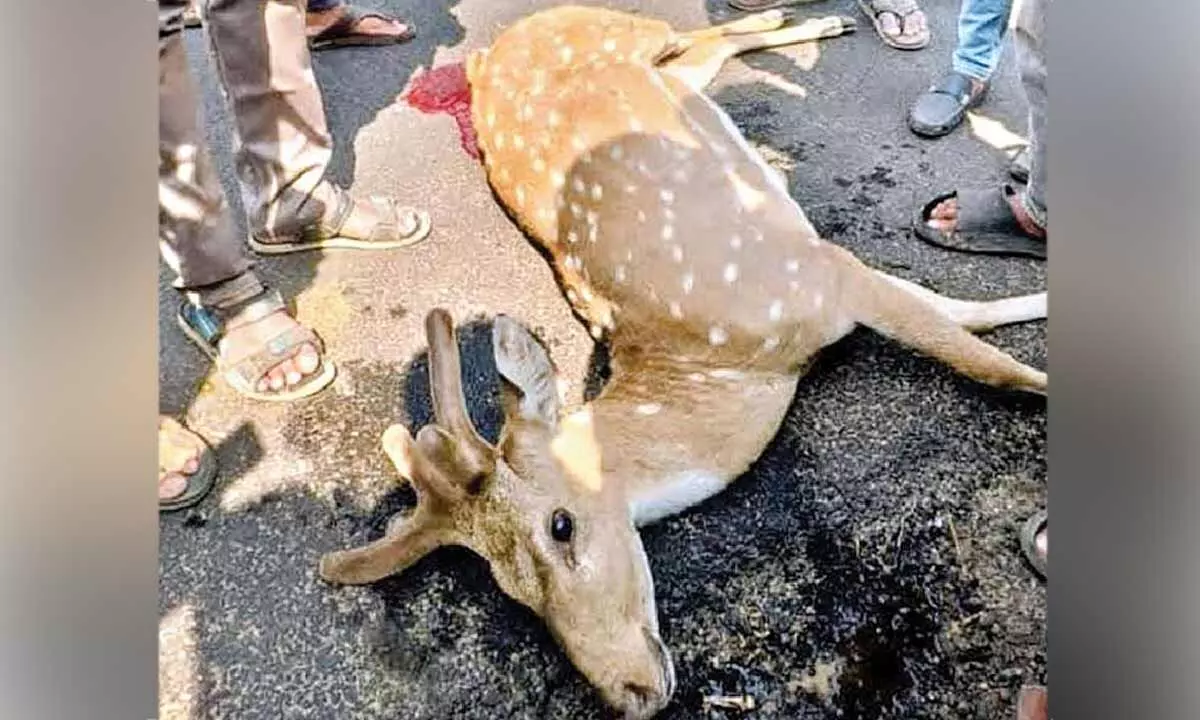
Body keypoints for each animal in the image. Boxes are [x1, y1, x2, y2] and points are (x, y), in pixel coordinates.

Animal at [317, 6, 1048, 719]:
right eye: (515, 594)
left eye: (562, 524)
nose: (628, 695)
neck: (739, 368)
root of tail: (487, 53)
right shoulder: (831, 281)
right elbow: (971, 321)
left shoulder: (825, 274)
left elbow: (982, 357)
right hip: (675, 70)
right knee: (711, 48)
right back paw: (812, 24)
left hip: (626, 29)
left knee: (697, 34)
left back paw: (820, 23)